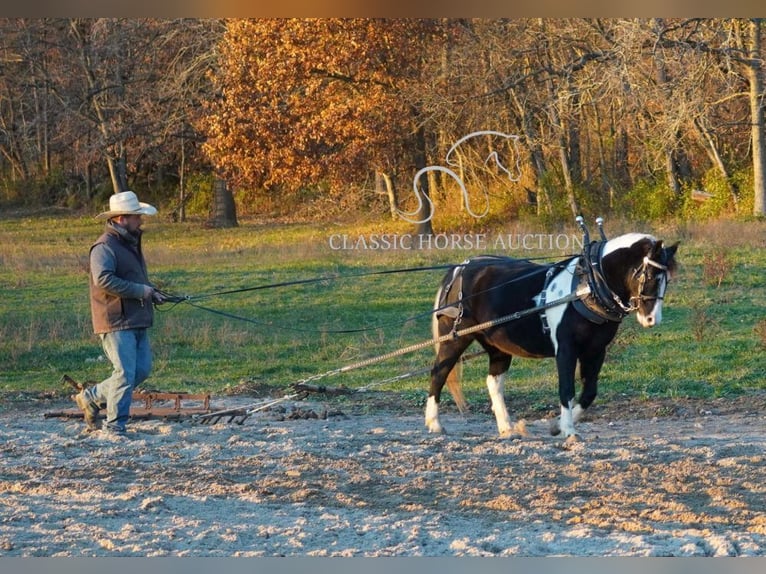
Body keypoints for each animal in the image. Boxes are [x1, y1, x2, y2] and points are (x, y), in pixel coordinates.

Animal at [426, 228, 684, 436]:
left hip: (497, 345)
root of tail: (459, 270)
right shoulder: (566, 349)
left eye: (667, 280)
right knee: (439, 373)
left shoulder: (596, 350)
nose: (652, 319)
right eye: (650, 275)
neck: (588, 286)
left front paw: (556, 426)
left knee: (494, 382)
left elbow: (589, 392)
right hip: (455, 338)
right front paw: (568, 430)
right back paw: (434, 423)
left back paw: (507, 428)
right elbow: (566, 389)